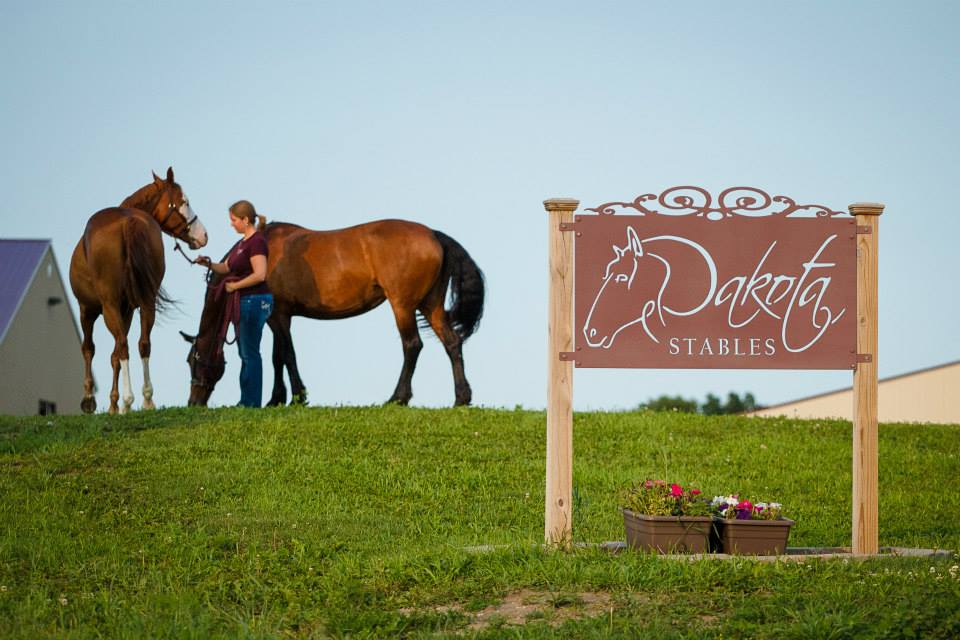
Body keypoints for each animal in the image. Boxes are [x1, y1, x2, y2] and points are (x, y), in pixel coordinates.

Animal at [69, 167, 208, 414]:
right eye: (184, 202)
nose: (203, 235)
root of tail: (128, 221)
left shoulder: (87, 309)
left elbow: (89, 348)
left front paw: (90, 399)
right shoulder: (128, 310)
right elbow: (115, 354)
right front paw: (114, 403)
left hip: (109, 306)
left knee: (123, 346)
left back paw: (129, 398)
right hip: (145, 303)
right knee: (142, 344)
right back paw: (146, 399)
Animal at [181, 219, 484, 407]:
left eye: (194, 360)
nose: (193, 402)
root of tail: (433, 234)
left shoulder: (278, 316)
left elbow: (286, 355)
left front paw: (298, 396)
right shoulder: (280, 318)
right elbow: (278, 357)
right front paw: (277, 398)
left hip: (403, 306)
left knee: (412, 345)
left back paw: (398, 397)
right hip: (430, 306)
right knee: (452, 343)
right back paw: (461, 397)